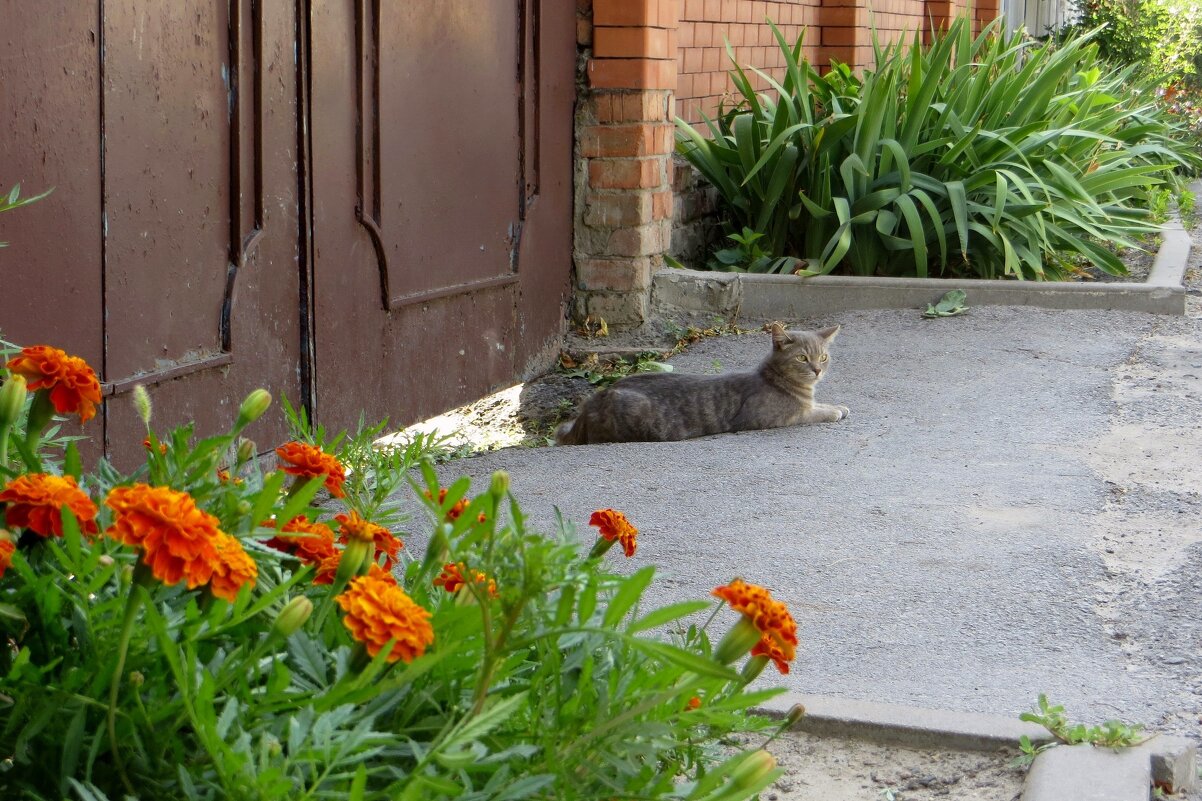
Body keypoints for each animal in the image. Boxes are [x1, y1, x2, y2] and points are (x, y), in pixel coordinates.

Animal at [552, 319, 846, 442]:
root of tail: (592, 403)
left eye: (823, 357)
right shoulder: (775, 417)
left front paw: (838, 406)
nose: (817, 370)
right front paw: (833, 411)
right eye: (802, 358)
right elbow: (812, 413)